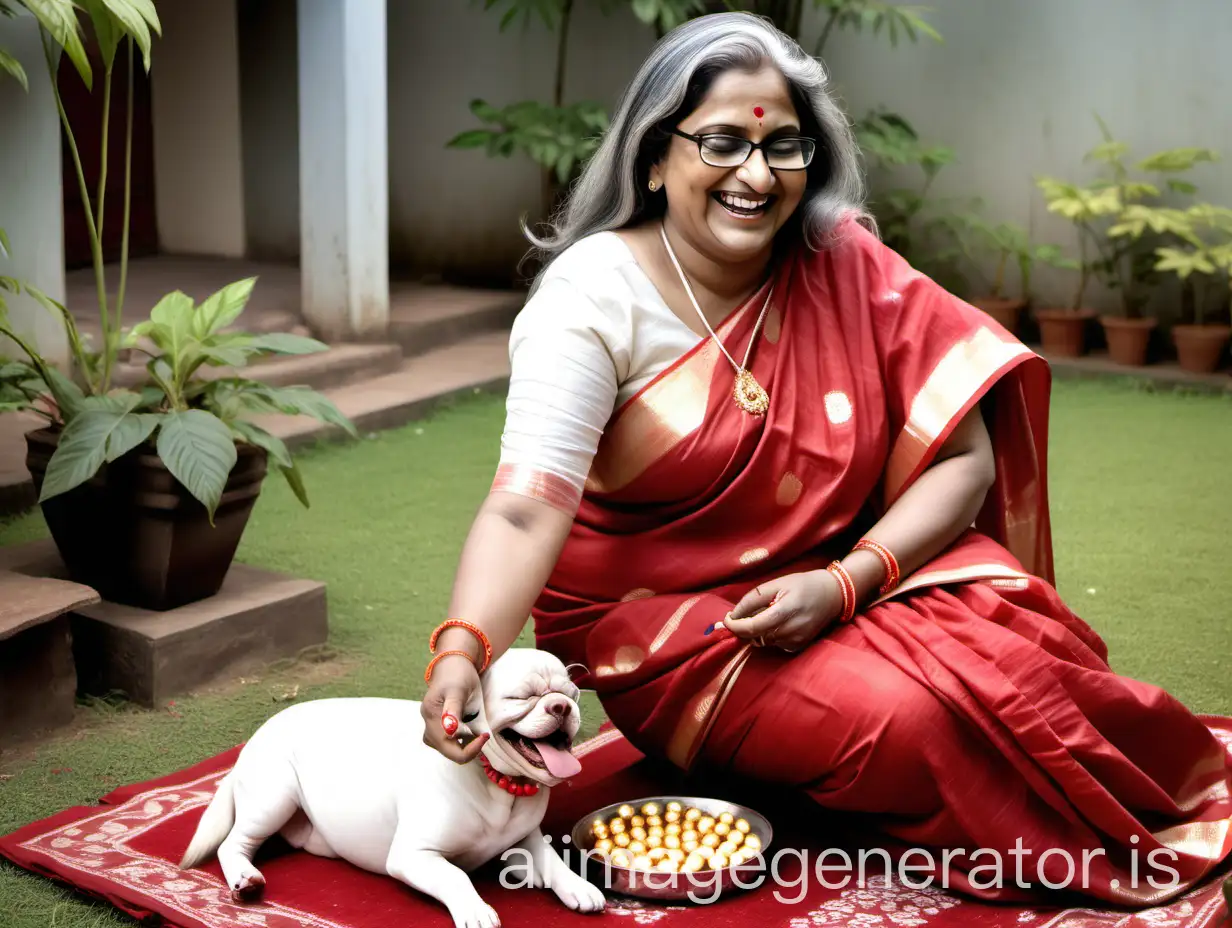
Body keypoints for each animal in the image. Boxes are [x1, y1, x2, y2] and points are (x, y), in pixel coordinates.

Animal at [179, 645, 606, 926]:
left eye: (570, 693)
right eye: (523, 697)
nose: (561, 706)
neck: (499, 783)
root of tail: (250, 743)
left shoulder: (524, 839)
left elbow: (549, 858)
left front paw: (574, 884)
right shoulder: (413, 855)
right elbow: (456, 875)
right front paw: (475, 908)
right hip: (274, 797)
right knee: (232, 843)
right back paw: (245, 877)